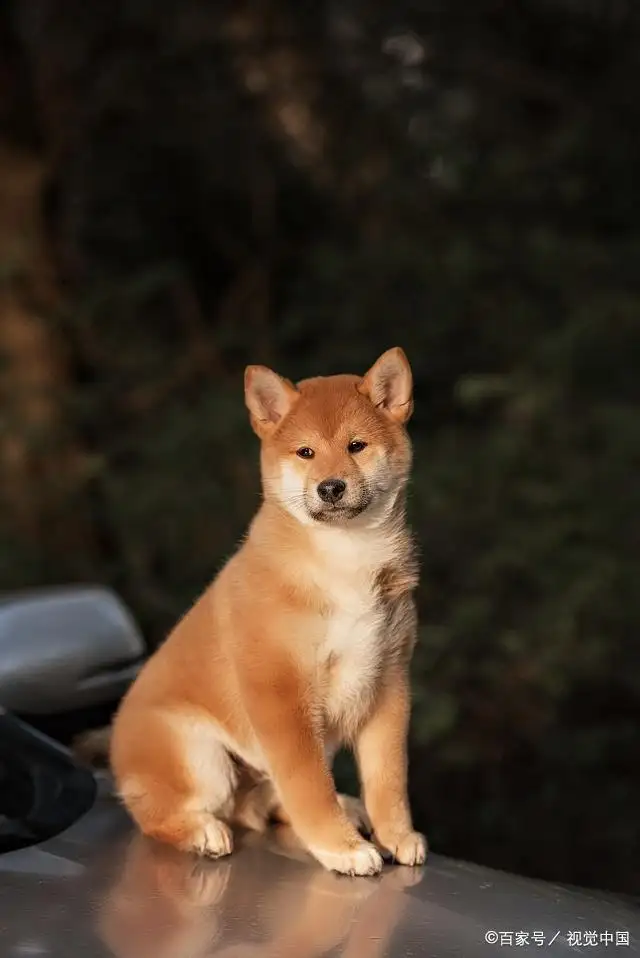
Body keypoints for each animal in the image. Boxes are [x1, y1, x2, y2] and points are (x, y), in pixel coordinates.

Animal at [108, 348, 428, 880]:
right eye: (306, 453)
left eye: (357, 446)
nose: (331, 487)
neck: (344, 558)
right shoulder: (281, 691)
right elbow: (308, 785)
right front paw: (341, 848)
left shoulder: (389, 682)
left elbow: (389, 779)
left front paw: (397, 835)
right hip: (201, 757)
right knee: (160, 814)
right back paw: (202, 831)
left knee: (262, 805)